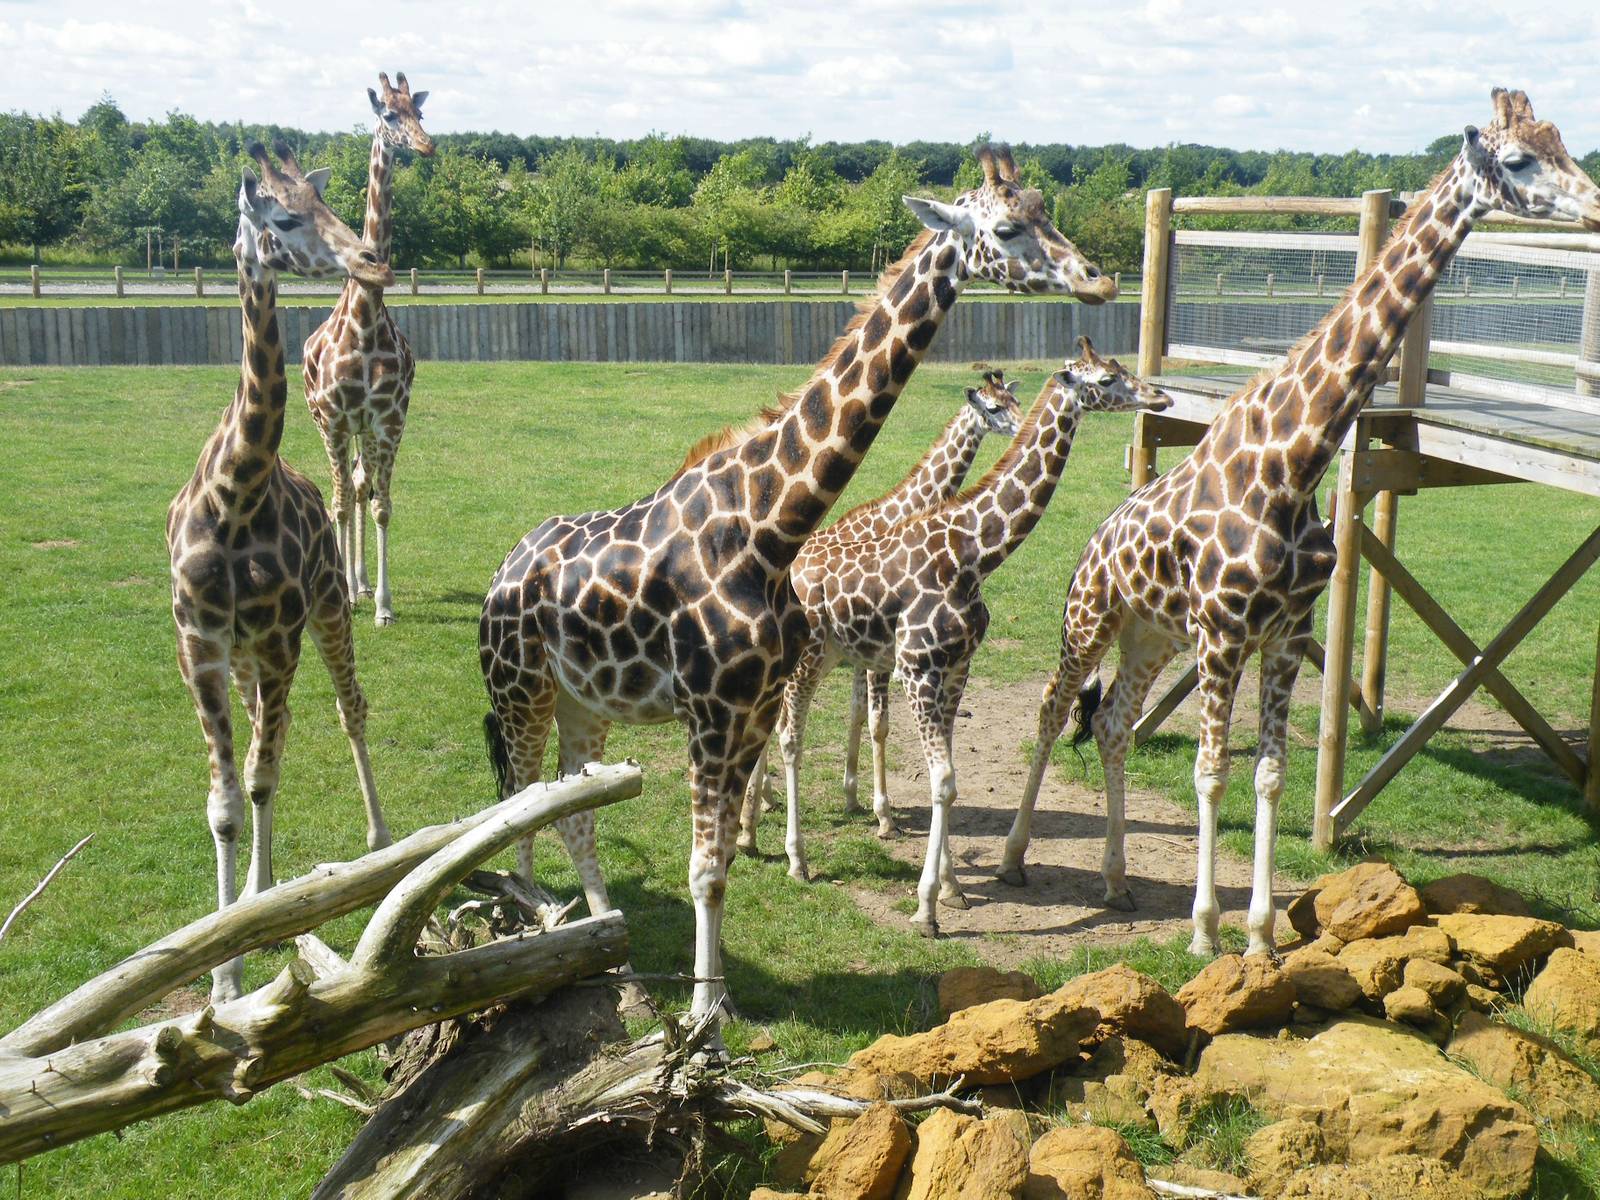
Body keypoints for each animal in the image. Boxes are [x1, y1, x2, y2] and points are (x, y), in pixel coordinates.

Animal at [169, 141, 395, 1003]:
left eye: (322, 202)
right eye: (286, 217)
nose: (369, 258)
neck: (235, 494)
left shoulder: (278, 637)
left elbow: (261, 780)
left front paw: (245, 930)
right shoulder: (200, 646)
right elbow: (227, 802)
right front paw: (224, 970)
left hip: (322, 616)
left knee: (344, 711)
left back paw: (375, 833)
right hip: (247, 661)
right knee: (279, 731)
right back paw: (261, 891)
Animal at [739, 369, 1024, 846]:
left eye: (1014, 400)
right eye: (995, 407)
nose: (1022, 427)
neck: (899, 512)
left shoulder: (865, 650)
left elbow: (859, 715)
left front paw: (854, 796)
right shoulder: (876, 649)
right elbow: (878, 722)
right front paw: (884, 815)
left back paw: (762, 804)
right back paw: (752, 817)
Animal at [1000, 89, 1600, 959]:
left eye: (1564, 144)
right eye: (1519, 159)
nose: (1595, 205)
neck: (1298, 462)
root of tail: (1095, 542)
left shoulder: (1284, 633)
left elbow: (1270, 773)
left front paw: (1259, 937)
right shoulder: (1224, 634)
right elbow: (1211, 772)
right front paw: (1204, 933)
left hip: (1152, 634)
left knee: (1112, 724)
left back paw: (1115, 880)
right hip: (1093, 617)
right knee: (1054, 709)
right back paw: (1013, 859)